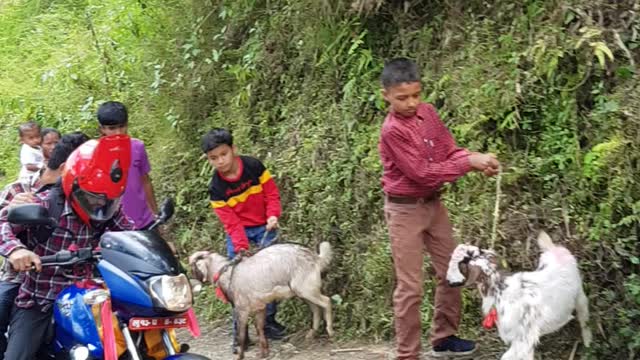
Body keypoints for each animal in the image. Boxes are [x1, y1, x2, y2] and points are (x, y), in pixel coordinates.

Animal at [189, 242, 332, 360]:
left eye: (193, 267)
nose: (191, 279)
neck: (229, 274)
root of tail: (315, 257)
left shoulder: (241, 310)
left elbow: (241, 335)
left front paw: (240, 356)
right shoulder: (260, 308)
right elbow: (260, 330)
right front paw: (264, 353)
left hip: (305, 288)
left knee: (326, 301)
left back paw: (330, 331)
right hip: (302, 291)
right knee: (316, 309)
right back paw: (311, 334)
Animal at [444, 231, 592, 360]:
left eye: (463, 264)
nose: (449, 282)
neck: (500, 292)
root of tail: (554, 249)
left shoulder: (523, 339)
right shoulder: (524, 342)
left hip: (580, 296)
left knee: (584, 317)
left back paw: (588, 342)